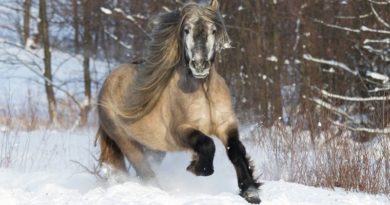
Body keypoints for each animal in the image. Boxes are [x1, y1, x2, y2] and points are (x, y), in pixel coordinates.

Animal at [95, 0, 260, 203]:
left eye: (213, 30)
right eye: (187, 30)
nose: (199, 65)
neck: (204, 91)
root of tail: (106, 84)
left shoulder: (226, 125)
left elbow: (236, 150)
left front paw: (250, 192)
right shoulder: (179, 131)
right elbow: (207, 143)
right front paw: (197, 168)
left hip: (154, 147)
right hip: (126, 142)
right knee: (145, 171)